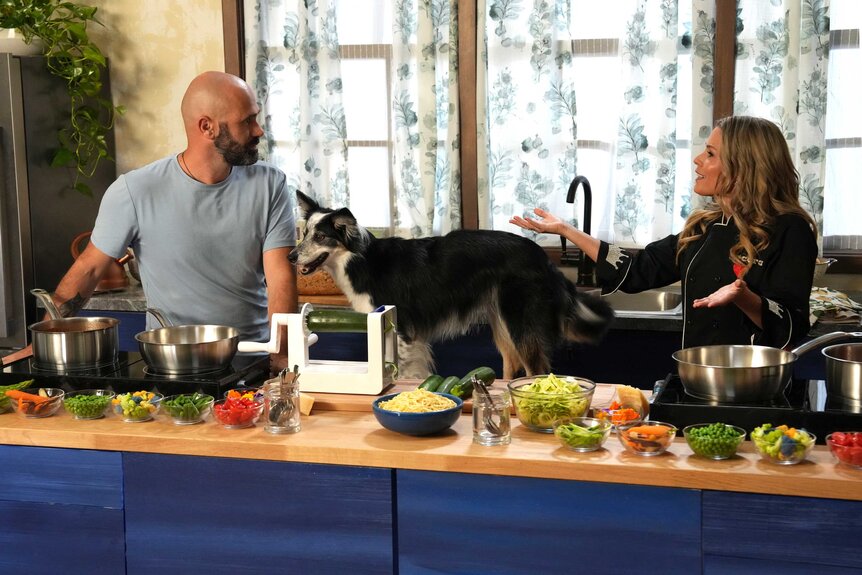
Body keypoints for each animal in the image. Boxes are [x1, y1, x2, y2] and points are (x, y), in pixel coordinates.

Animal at [290, 194, 616, 380]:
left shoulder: (403, 331)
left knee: (538, 370)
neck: (361, 259)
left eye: (320, 237)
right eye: (304, 234)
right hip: (502, 323)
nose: (291, 256)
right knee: (513, 366)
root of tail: (543, 259)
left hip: (521, 322)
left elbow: (404, 369)